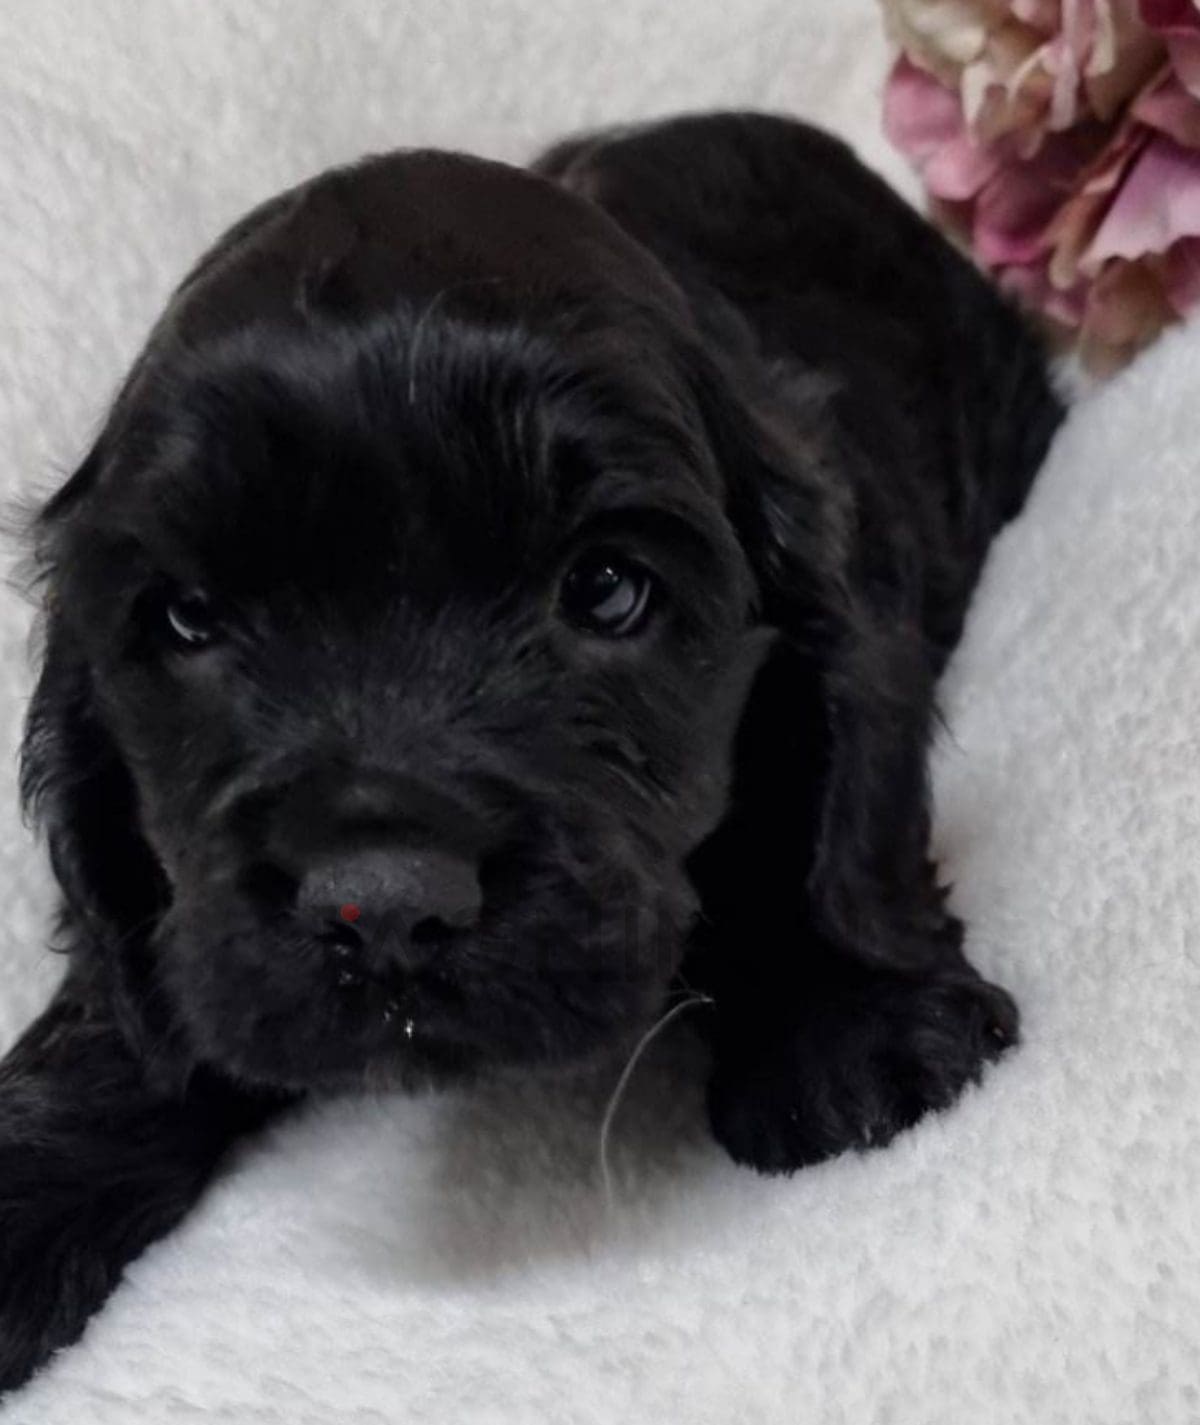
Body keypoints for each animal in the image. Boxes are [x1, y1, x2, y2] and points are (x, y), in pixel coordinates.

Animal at [0, 111, 1062, 1392]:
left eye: (605, 587)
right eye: (189, 618)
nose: (385, 908)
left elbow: (825, 814)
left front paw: (856, 1021)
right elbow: (126, 988)